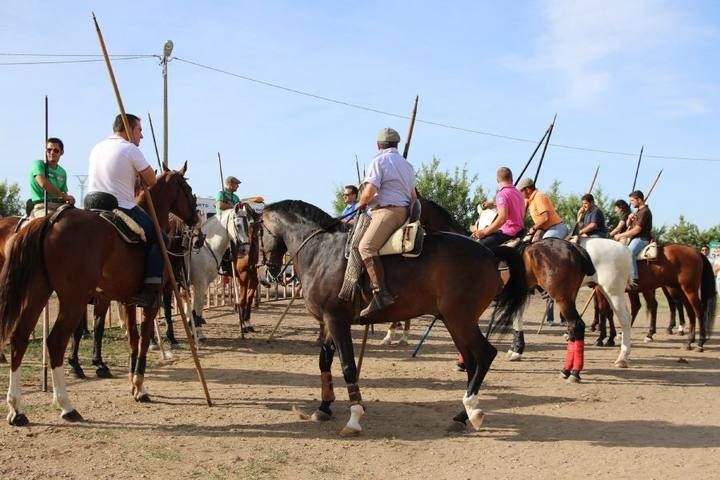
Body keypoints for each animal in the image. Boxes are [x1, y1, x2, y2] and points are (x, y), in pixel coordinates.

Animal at [0, 166, 197, 428]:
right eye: (187, 188)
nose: (196, 219)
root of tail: (50, 222)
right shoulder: (151, 303)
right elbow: (143, 340)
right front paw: (139, 387)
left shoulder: (128, 301)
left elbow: (133, 340)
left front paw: (133, 385)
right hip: (72, 300)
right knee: (55, 342)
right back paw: (66, 405)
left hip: (37, 294)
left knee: (19, 338)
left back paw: (16, 409)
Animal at [187, 205, 252, 342]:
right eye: (238, 225)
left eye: (248, 224)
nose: (245, 249)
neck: (206, 249)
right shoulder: (200, 284)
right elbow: (198, 307)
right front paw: (199, 333)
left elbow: (194, 308)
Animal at [256, 199, 524, 436]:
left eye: (257, 231)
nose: (267, 274)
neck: (321, 250)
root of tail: (490, 254)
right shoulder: (330, 323)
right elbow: (325, 361)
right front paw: (324, 407)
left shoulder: (337, 321)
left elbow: (348, 367)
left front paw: (354, 419)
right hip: (454, 321)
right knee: (471, 361)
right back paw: (461, 416)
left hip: (460, 319)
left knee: (484, 355)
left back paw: (472, 411)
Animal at [512, 238, 636, 370]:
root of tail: (624, 248)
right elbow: (517, 319)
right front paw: (516, 350)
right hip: (603, 291)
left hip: (612, 293)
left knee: (623, 319)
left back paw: (621, 356)